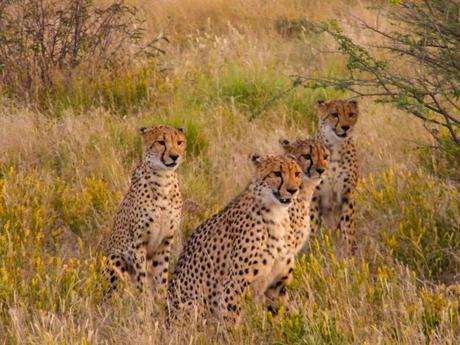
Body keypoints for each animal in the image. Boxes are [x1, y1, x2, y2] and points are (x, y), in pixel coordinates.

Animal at [102, 124, 185, 300]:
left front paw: (160, 301)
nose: (174, 156)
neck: (163, 180)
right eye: (161, 142)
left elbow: (161, 278)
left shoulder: (164, 242)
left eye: (180, 142)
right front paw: (144, 302)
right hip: (115, 257)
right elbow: (142, 279)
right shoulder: (139, 243)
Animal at [167, 153, 304, 322]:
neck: (276, 214)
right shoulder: (234, 285)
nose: (293, 190)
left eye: (297, 174)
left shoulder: (277, 285)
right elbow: (231, 321)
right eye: (277, 173)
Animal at [310, 99, 362, 255]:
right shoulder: (314, 196)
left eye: (351, 114)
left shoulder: (347, 194)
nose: (346, 127)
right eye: (334, 114)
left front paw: (347, 253)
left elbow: (347, 226)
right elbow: (312, 226)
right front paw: (313, 253)